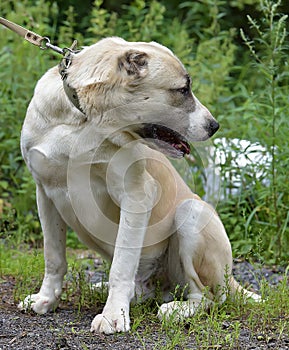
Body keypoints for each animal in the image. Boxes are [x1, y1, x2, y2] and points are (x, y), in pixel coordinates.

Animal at [19, 37, 258, 334]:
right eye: (182, 90)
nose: (214, 126)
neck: (85, 120)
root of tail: (231, 279)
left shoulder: (135, 196)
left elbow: (121, 266)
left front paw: (113, 316)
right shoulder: (45, 193)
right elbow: (53, 257)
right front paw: (46, 299)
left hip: (191, 212)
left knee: (208, 297)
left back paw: (177, 310)